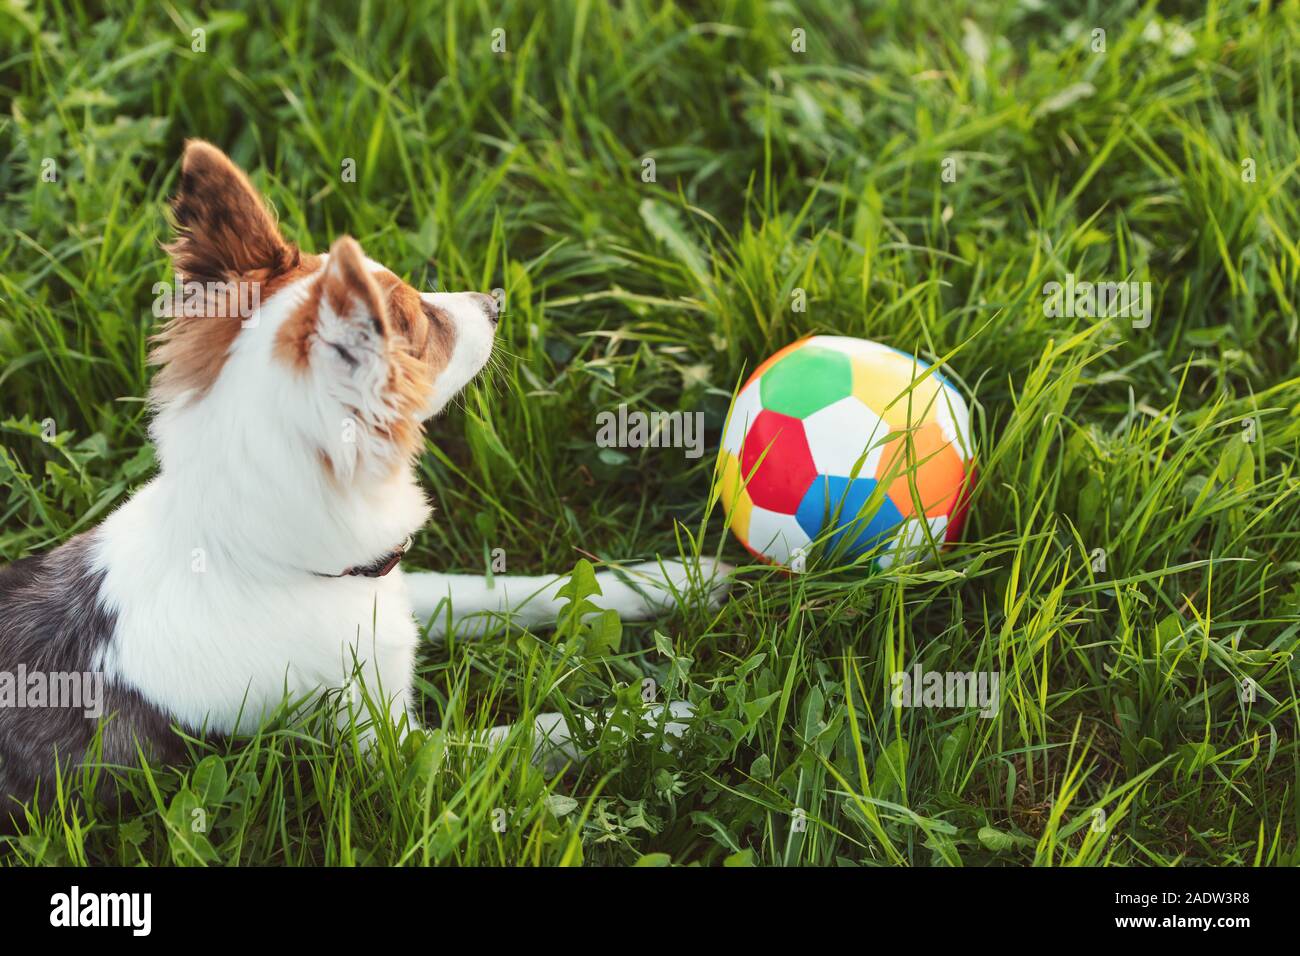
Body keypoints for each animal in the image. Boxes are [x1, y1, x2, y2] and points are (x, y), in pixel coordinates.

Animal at [0, 140, 733, 816]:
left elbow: (514, 590)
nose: (492, 301)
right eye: (423, 324)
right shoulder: (393, 751)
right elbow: (536, 733)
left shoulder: (395, 589)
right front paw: (667, 721)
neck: (260, 563)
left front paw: (672, 580)